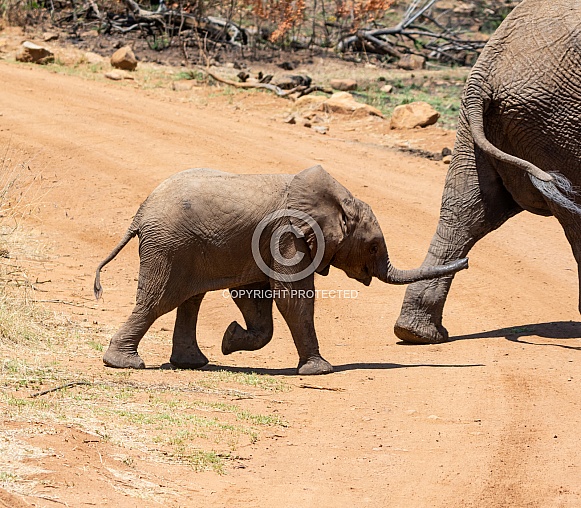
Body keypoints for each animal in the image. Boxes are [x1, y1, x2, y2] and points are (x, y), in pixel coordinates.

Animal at [95, 165, 466, 376]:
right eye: (373, 246)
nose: (467, 263)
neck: (336, 199)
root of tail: (140, 214)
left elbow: (254, 297)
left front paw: (229, 339)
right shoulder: (287, 236)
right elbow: (293, 297)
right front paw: (320, 372)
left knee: (189, 300)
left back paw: (193, 363)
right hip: (168, 246)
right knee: (159, 300)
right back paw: (125, 364)